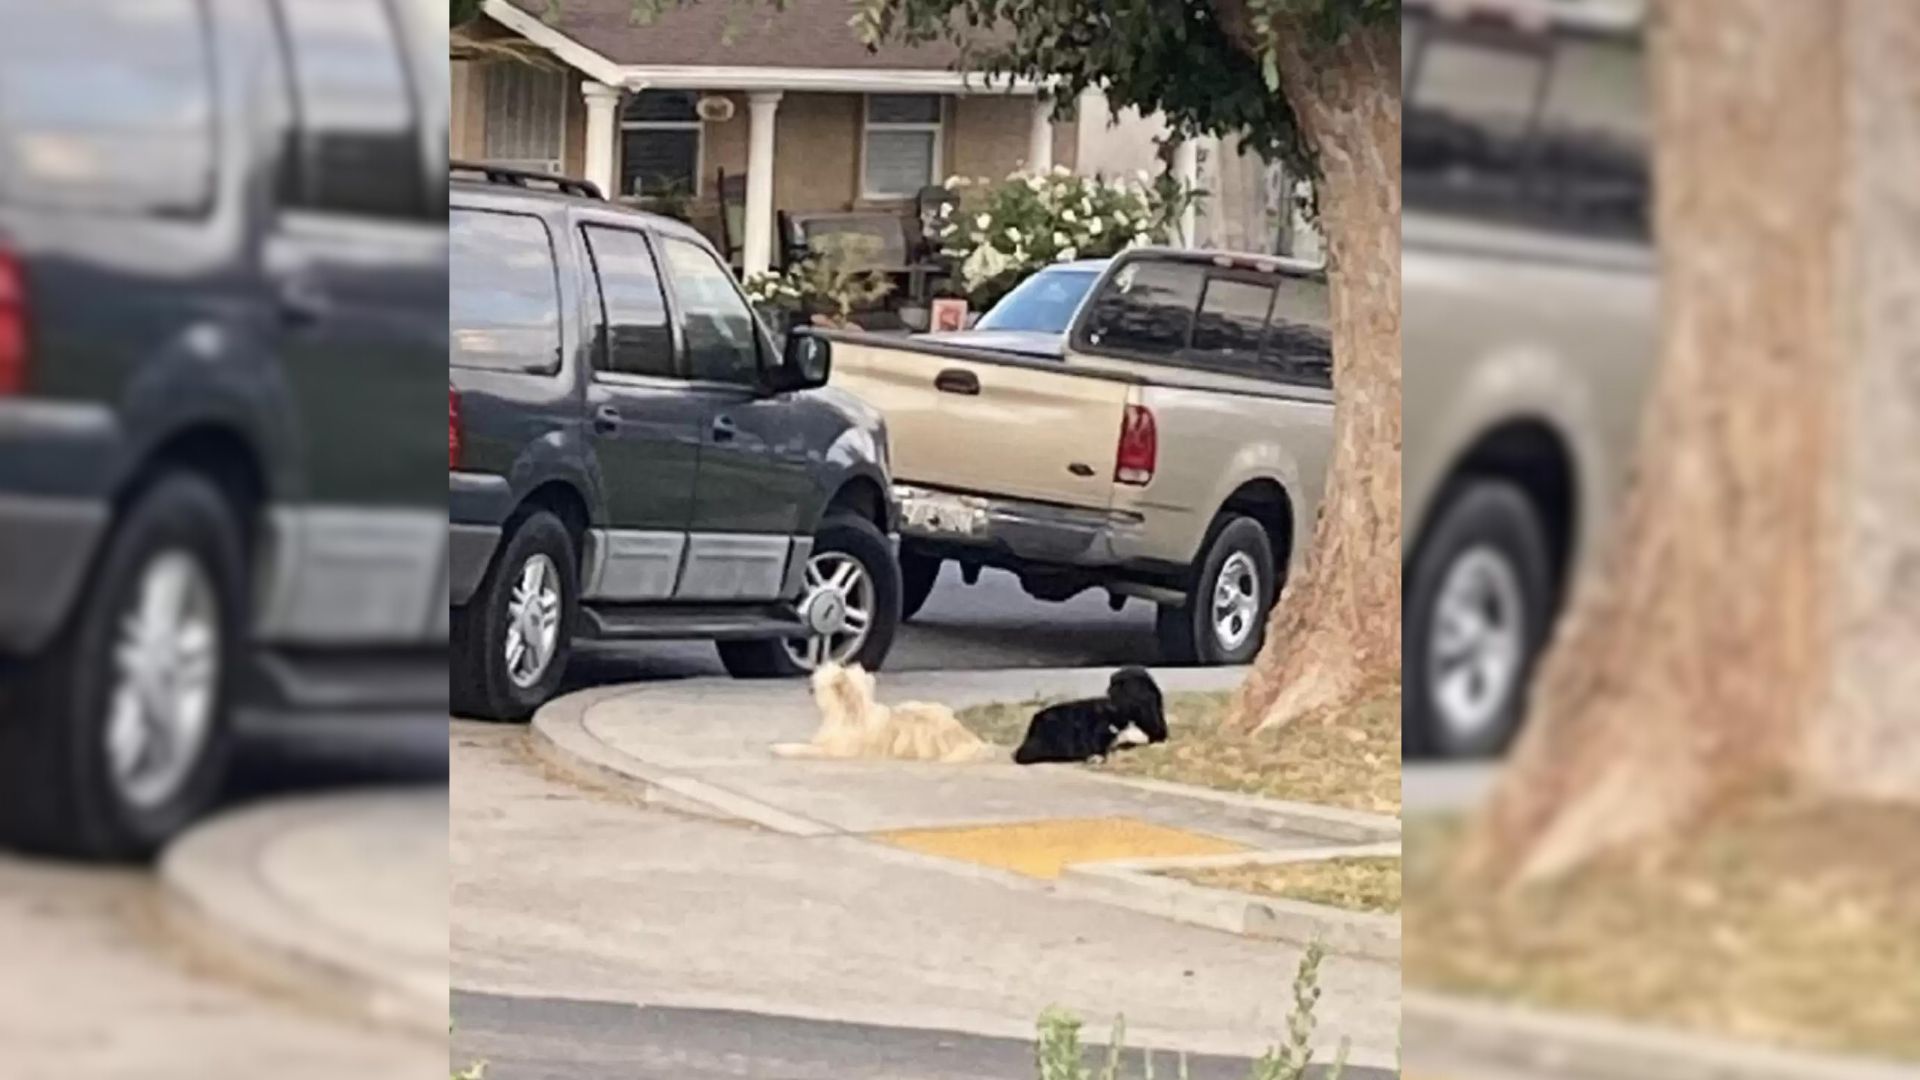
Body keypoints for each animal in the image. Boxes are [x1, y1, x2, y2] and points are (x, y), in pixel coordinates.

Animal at [771, 661, 998, 760]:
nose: (808, 687)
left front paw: (782, 748)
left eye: (817, 685)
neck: (851, 710)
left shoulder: (835, 749)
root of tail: (967, 736)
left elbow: (804, 748)